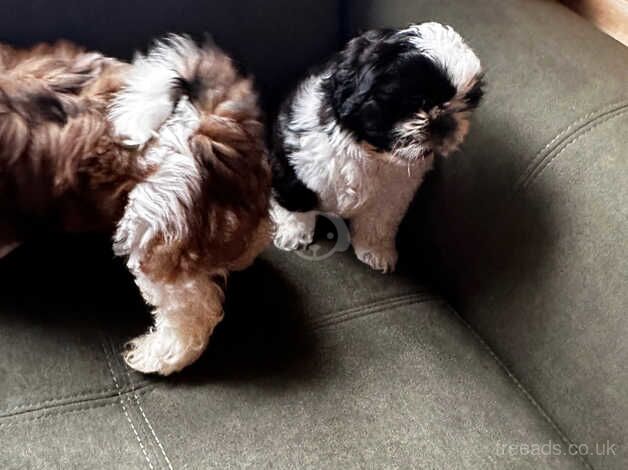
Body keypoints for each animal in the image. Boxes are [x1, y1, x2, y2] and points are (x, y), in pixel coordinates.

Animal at [272, 23, 486, 272]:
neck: (370, 152)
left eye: (463, 106)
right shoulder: (292, 162)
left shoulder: (392, 197)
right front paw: (293, 232)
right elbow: (295, 199)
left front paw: (375, 251)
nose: (446, 122)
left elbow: (378, 222)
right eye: (418, 100)